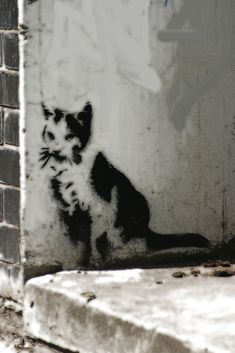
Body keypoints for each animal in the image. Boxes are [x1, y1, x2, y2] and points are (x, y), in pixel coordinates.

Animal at [39, 101, 210, 264]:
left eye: (69, 136)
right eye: (51, 135)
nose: (56, 150)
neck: (69, 167)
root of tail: (147, 229)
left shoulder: (101, 202)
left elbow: (93, 236)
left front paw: (94, 260)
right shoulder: (66, 208)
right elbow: (74, 240)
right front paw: (74, 264)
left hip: (137, 201)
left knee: (122, 235)